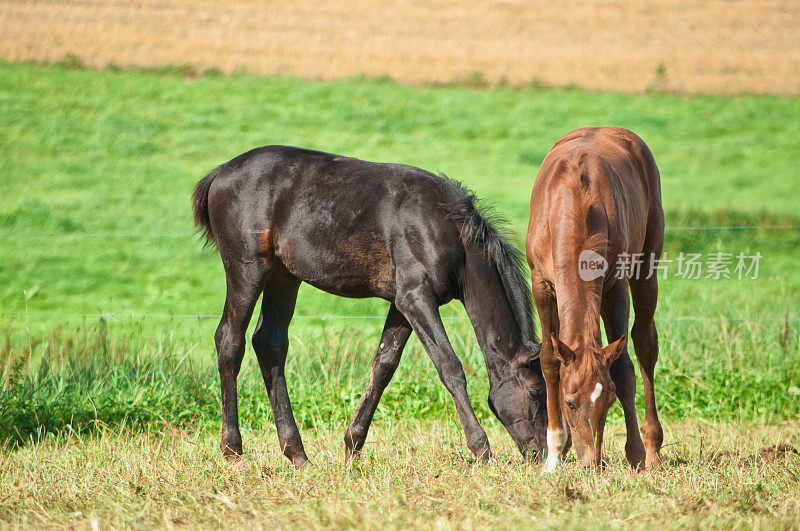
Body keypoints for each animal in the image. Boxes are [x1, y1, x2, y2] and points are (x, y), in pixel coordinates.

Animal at [528, 127, 664, 472]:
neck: (572, 201)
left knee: (645, 344)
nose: (591, 462)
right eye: (569, 402)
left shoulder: (614, 286)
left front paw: (636, 454)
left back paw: (653, 448)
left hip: (646, 267)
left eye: (610, 398)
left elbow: (624, 366)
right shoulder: (542, 285)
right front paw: (554, 454)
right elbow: (549, 359)